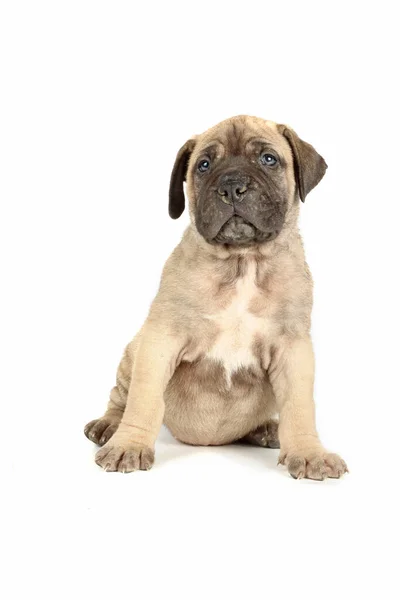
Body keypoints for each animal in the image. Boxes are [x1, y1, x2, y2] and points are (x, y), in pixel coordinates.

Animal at [83, 115, 346, 480]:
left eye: (268, 159)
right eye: (204, 166)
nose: (232, 186)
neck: (242, 261)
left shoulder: (293, 349)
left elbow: (299, 406)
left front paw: (309, 453)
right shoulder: (159, 339)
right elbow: (144, 398)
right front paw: (129, 445)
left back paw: (265, 428)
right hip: (131, 354)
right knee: (121, 396)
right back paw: (109, 426)